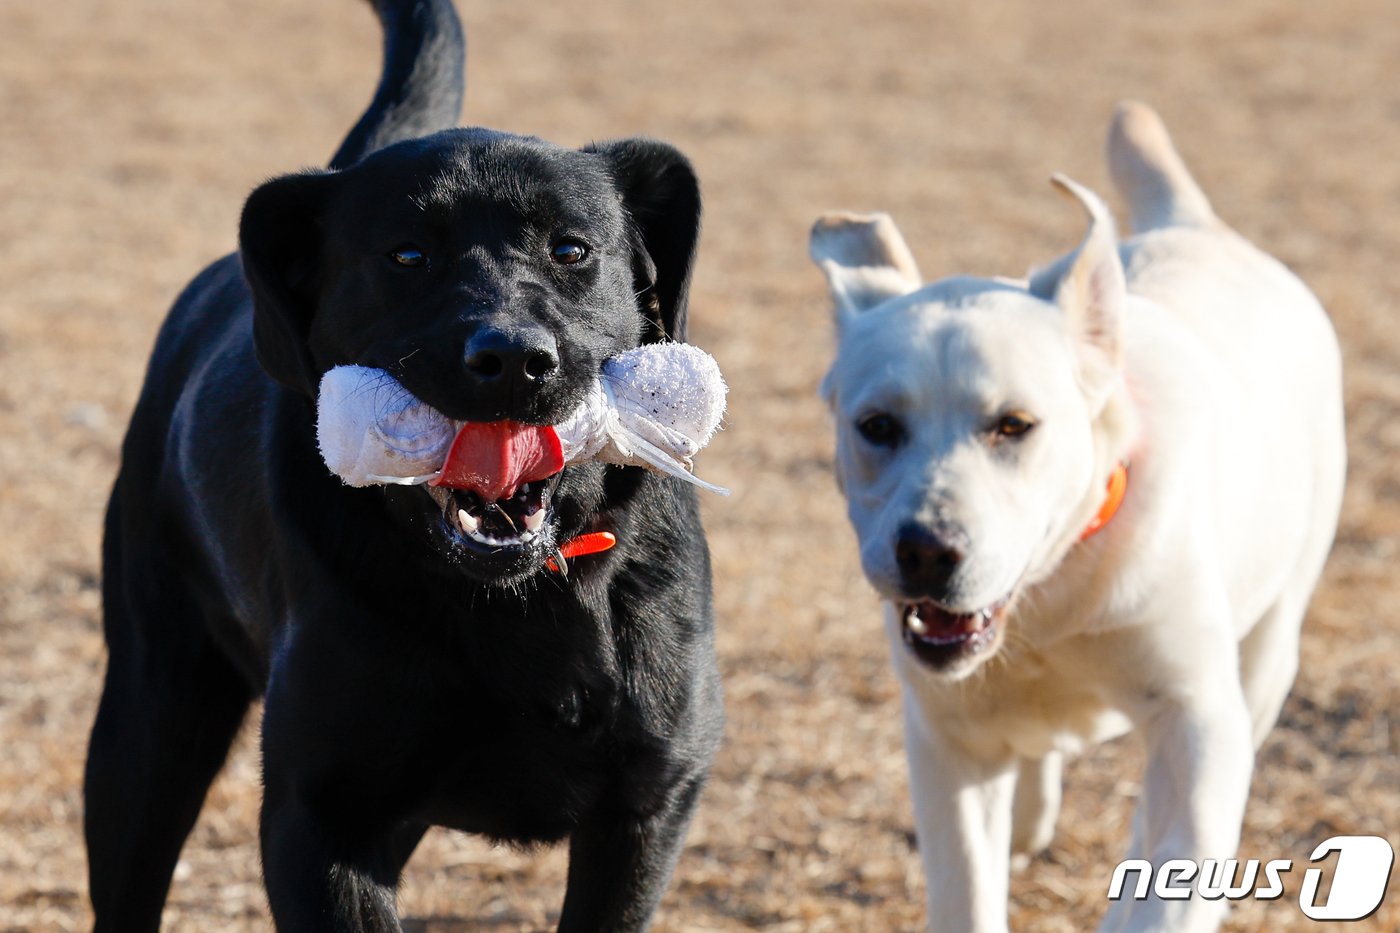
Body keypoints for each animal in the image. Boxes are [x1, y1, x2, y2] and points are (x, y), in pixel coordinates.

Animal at [84, 3, 722, 924]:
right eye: (407, 255)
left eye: (571, 250)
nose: (513, 358)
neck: (515, 602)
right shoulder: (321, 812)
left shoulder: (647, 805)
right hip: (150, 717)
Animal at [812, 98, 1344, 924]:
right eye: (876, 426)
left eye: (1014, 424)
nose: (926, 549)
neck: (1051, 593)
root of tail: (1197, 224)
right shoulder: (947, 739)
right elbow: (967, 894)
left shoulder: (1198, 716)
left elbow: (1173, 877)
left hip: (1269, 649)